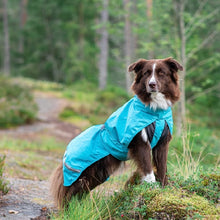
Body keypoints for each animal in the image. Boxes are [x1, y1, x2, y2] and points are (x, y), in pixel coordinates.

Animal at [50, 57, 183, 208]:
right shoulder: (140, 143)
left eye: (161, 73)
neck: (156, 113)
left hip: (98, 174)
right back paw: (68, 209)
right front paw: (152, 187)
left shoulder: (162, 143)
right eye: (146, 73)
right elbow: (148, 168)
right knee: (69, 192)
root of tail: (67, 151)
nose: (152, 84)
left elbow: (162, 166)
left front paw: (165, 188)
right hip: (82, 172)